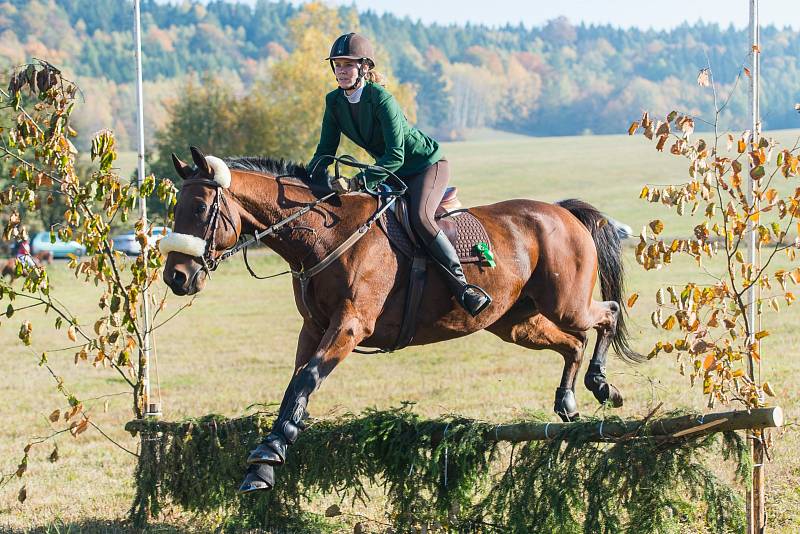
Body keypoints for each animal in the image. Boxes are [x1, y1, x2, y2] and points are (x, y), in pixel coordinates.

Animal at [162, 147, 644, 494]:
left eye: (201, 209)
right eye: (175, 209)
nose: (175, 277)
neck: (325, 236)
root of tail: (562, 211)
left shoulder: (351, 324)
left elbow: (306, 380)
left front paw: (267, 459)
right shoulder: (313, 328)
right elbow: (296, 382)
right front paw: (268, 453)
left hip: (565, 301)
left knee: (606, 314)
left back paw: (603, 385)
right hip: (514, 323)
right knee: (572, 343)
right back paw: (568, 401)